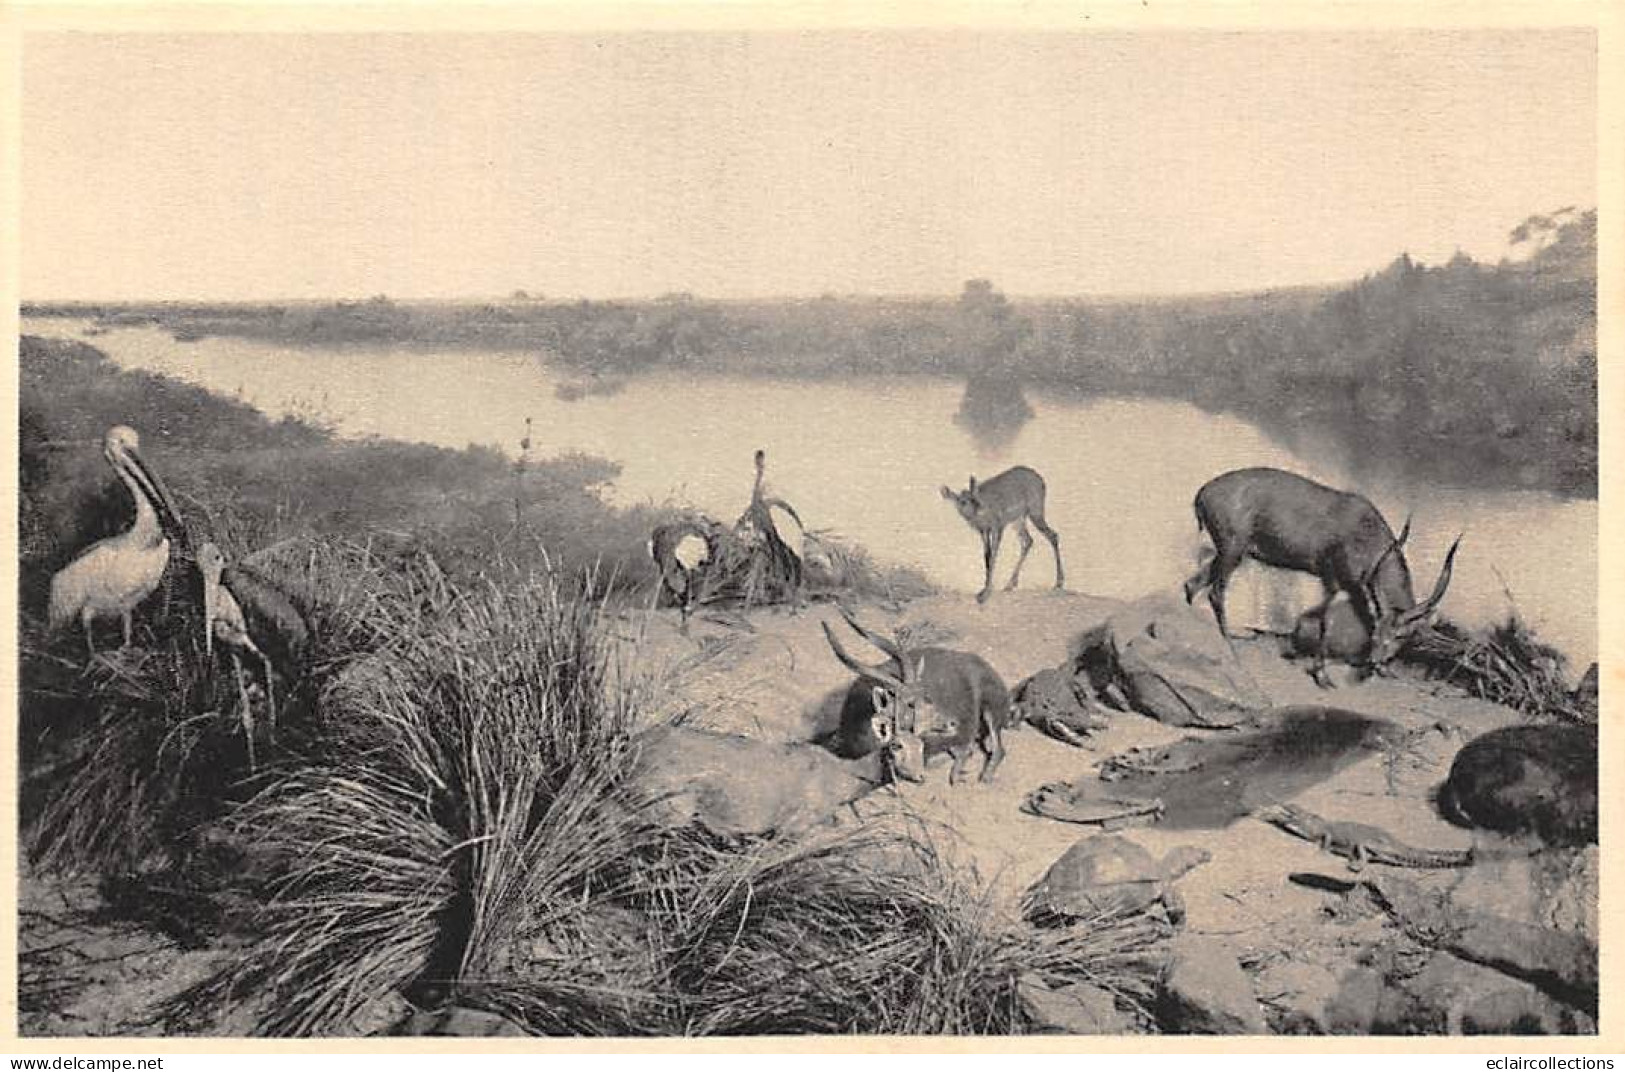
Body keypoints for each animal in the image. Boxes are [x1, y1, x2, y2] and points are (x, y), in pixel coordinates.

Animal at [825, 607, 1014, 782]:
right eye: (910, 704)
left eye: (927, 698)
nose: (952, 723)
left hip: (989, 712)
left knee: (997, 749)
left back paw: (980, 775)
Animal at [942, 464, 1066, 607]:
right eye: (962, 501)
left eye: (974, 498)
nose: (979, 509)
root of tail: (1039, 478)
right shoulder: (984, 531)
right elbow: (987, 556)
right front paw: (983, 589)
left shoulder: (998, 528)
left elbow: (994, 555)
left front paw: (985, 593)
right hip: (1019, 520)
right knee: (1028, 541)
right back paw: (1010, 585)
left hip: (1035, 513)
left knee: (1053, 536)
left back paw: (1058, 583)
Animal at [1183, 467, 1462, 685]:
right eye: (1381, 629)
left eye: (1402, 634)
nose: (1376, 661)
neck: (1368, 537)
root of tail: (1202, 493)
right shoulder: (1332, 578)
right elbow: (1324, 621)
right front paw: (1322, 674)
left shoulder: (1354, 588)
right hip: (1233, 550)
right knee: (1214, 592)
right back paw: (1230, 644)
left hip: (1231, 553)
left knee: (1191, 584)